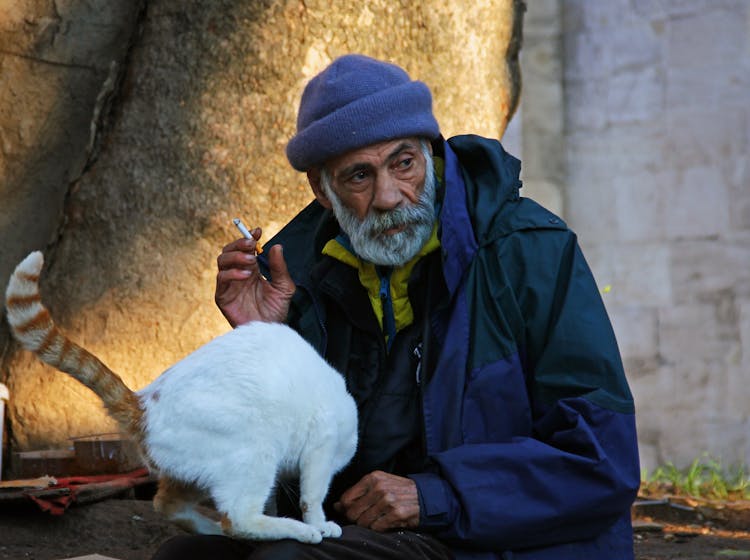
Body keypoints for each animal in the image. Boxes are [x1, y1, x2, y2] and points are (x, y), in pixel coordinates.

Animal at [4, 252, 360, 544]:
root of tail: (143, 403)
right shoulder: (322, 440)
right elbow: (312, 496)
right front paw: (320, 524)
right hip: (256, 450)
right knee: (238, 519)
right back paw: (296, 530)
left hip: (196, 472)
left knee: (166, 505)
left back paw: (210, 529)